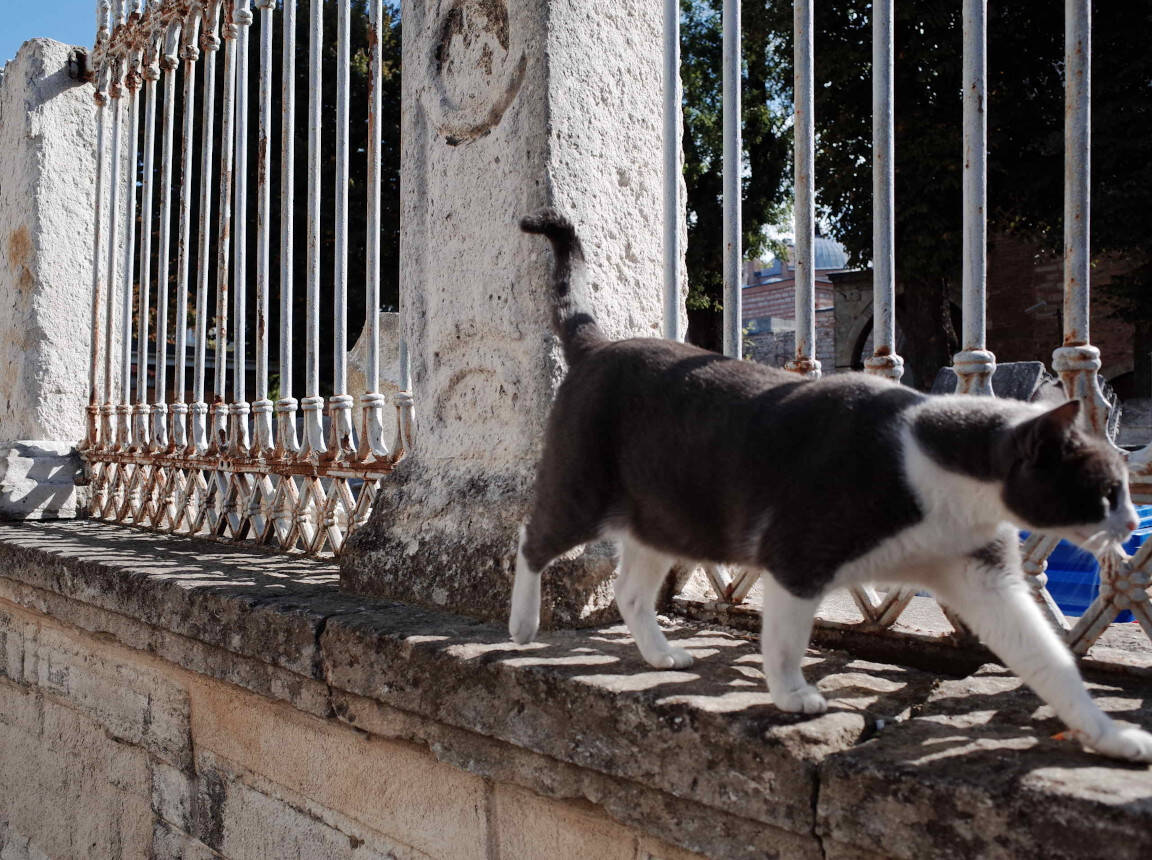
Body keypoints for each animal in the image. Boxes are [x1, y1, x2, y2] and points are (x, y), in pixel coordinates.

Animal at [511, 208, 1152, 759]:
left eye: (1124, 486)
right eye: (1106, 490)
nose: (1130, 523)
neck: (934, 475)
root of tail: (597, 346)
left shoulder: (985, 575)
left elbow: (1049, 661)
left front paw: (1111, 736)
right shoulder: (798, 557)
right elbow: (786, 639)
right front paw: (794, 696)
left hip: (666, 516)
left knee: (630, 591)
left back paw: (660, 653)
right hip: (584, 490)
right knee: (530, 539)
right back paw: (522, 625)